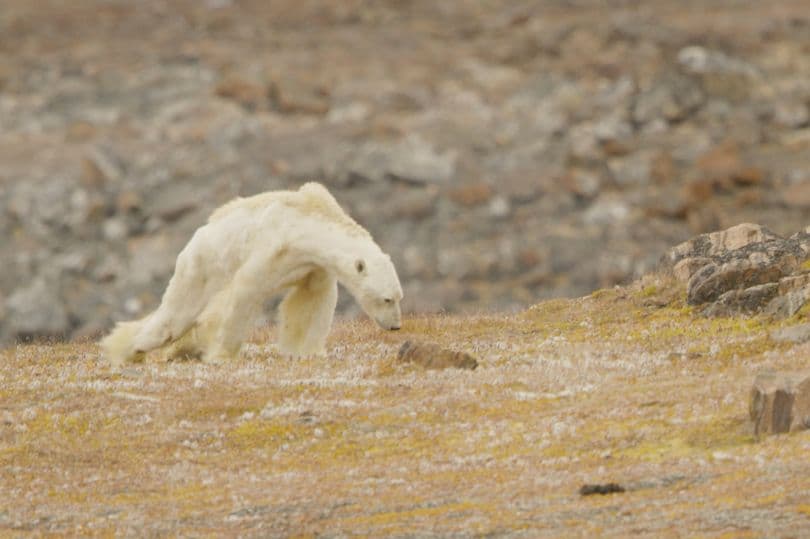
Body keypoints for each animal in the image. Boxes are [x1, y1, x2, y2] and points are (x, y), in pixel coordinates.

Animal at [101, 182, 403, 366]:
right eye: (387, 299)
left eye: (399, 297)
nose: (396, 326)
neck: (308, 223)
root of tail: (195, 237)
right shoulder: (273, 246)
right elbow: (245, 291)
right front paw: (221, 354)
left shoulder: (313, 265)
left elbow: (311, 302)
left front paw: (307, 351)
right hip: (201, 266)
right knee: (175, 316)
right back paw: (129, 349)